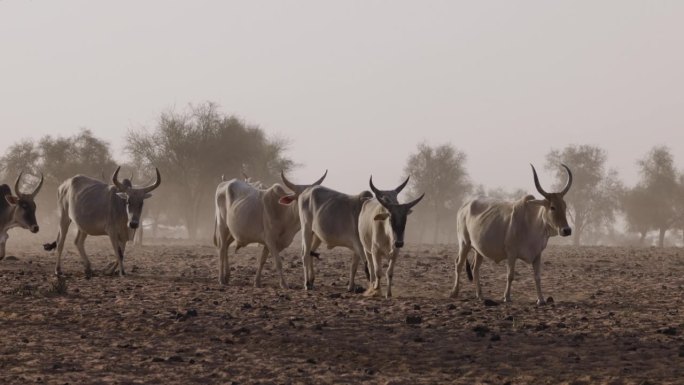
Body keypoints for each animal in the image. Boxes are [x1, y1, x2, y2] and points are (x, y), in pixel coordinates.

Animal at [448, 164, 572, 304]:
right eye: (552, 207)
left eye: (564, 206)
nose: (567, 230)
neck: (531, 223)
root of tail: (465, 205)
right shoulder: (511, 253)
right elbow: (510, 275)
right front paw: (506, 297)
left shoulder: (537, 254)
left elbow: (537, 277)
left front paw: (541, 299)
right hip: (464, 243)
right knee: (458, 264)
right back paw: (454, 292)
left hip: (478, 249)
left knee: (475, 269)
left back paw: (480, 295)